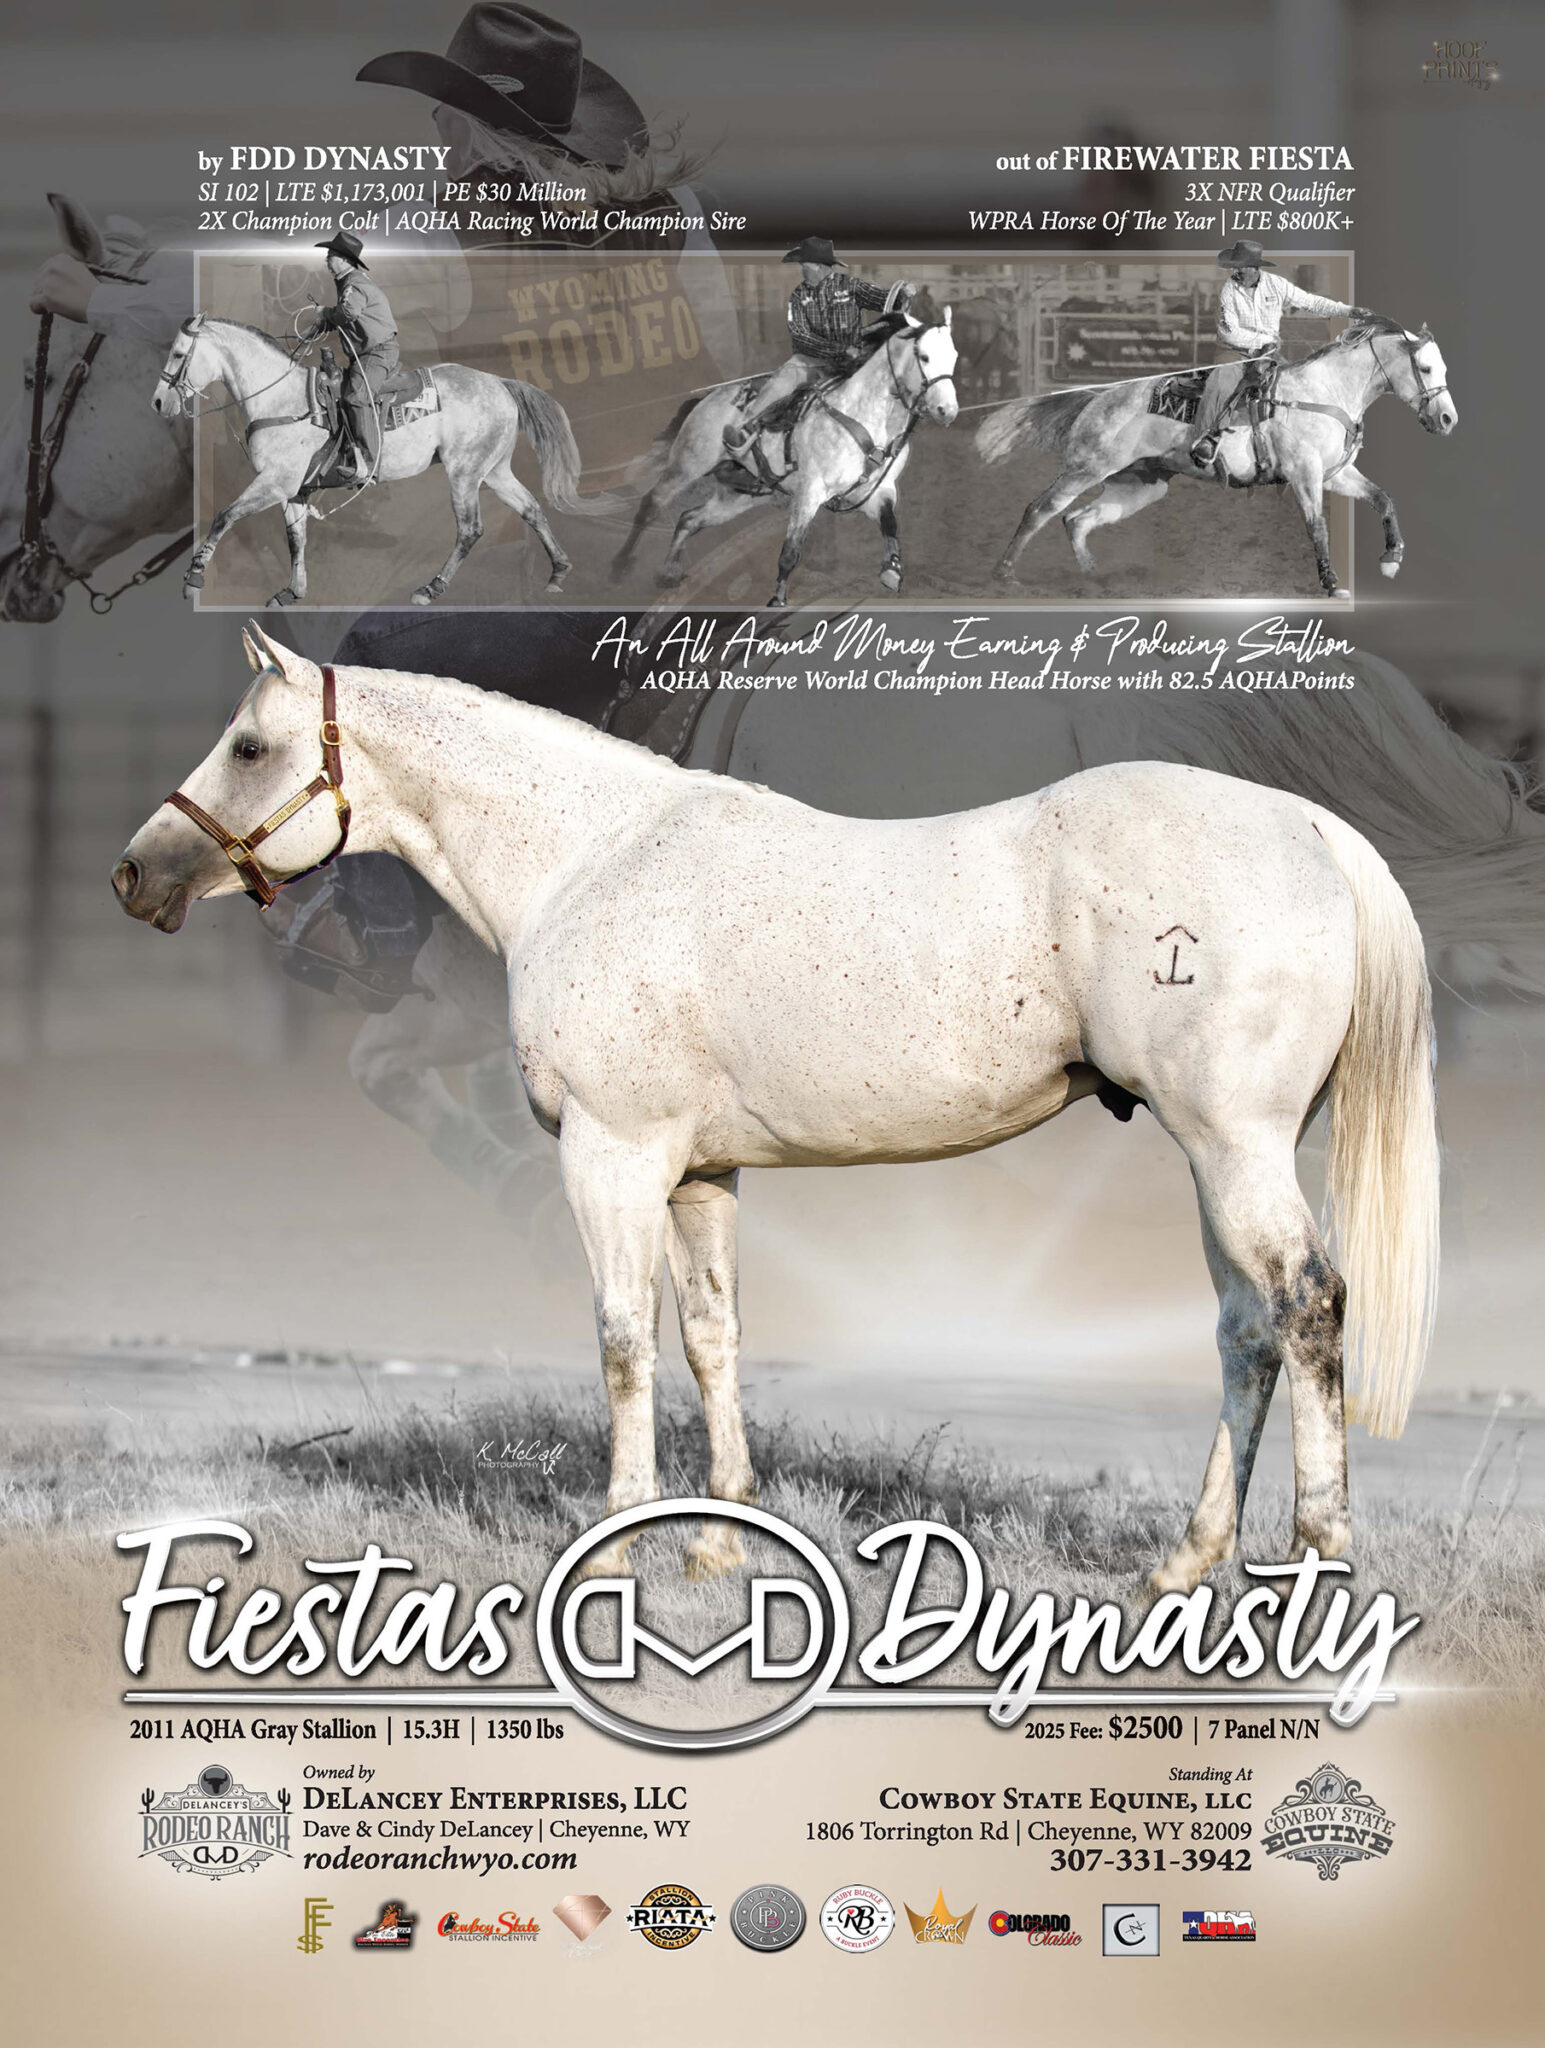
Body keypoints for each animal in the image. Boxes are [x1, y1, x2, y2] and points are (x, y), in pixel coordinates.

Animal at [114, 629, 1440, 1597]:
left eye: (249, 744)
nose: (135, 874)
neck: (590, 857)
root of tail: (1308, 825)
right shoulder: (700, 1174)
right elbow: (713, 1337)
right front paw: (715, 1543)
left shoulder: (612, 1156)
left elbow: (622, 1338)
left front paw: (626, 1535)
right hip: (1225, 1155)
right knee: (1245, 1330)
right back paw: (1184, 1559)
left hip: (1233, 1146)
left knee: (1306, 1306)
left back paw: (1320, 1559)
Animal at [152, 317, 620, 608]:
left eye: (177, 354)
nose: (158, 402)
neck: (282, 401)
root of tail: (500, 383)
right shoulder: (296, 491)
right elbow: (295, 539)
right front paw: (293, 591)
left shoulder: (275, 483)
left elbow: (224, 515)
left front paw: (194, 577)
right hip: (495, 470)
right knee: (532, 510)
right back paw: (558, 572)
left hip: (465, 473)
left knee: (470, 529)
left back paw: (432, 588)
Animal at [611, 311, 959, 605]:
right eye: (924, 357)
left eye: (954, 356)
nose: (948, 411)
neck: (865, 416)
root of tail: (706, 399)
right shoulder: (810, 492)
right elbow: (791, 550)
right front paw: (777, 598)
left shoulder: (879, 491)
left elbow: (890, 523)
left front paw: (892, 570)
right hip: (687, 463)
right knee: (651, 504)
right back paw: (619, 567)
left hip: (738, 497)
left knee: (689, 518)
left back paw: (668, 572)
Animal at [976, 319, 1456, 597]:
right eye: (1425, 369)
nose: (1448, 419)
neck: (1323, 392)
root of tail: (1098, 397)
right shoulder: (1304, 473)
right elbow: (1316, 526)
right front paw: (1332, 583)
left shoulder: (1335, 473)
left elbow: (1383, 498)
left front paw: (1391, 558)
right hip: (1085, 467)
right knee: (1039, 510)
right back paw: (1004, 574)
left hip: (1138, 485)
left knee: (1076, 520)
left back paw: (1093, 576)